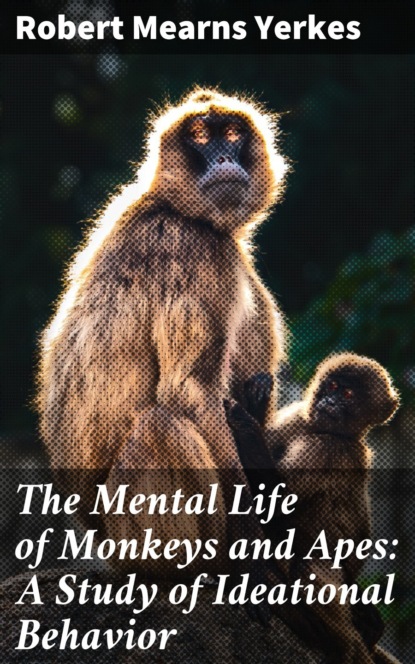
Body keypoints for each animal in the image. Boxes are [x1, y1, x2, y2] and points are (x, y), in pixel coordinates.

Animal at [36, 88, 288, 580]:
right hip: (134, 535)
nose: (224, 157)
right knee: (159, 425)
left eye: (232, 133)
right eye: (200, 137)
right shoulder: (196, 249)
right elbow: (187, 391)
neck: (170, 205)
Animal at [225, 354, 400, 663]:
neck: (318, 429)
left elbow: (275, 508)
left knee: (309, 564)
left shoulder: (329, 448)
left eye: (347, 394)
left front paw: (246, 424)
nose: (329, 401)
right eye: (332, 386)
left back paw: (328, 636)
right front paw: (257, 400)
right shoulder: (296, 419)